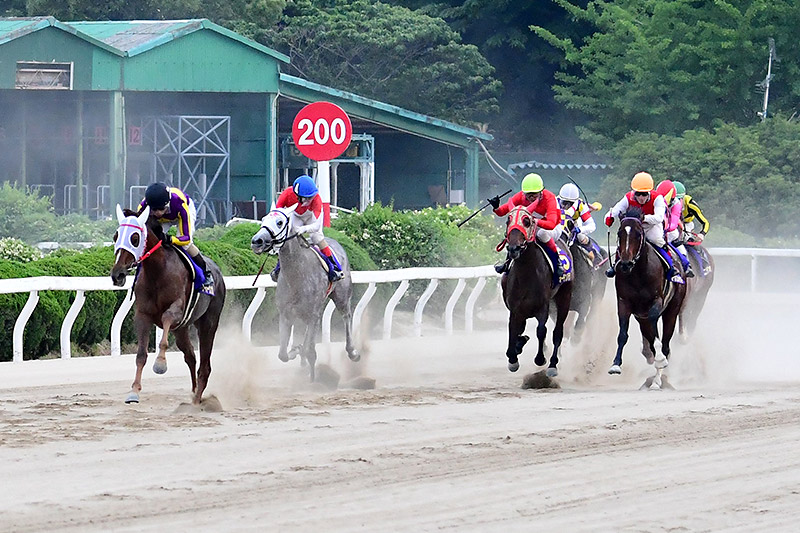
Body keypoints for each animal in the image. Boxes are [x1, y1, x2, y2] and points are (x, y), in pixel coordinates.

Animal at [109, 205, 225, 404]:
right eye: (116, 236)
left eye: (134, 238)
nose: (118, 274)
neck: (157, 272)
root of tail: (218, 272)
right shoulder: (143, 315)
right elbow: (141, 355)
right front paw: (134, 391)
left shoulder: (177, 311)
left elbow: (166, 320)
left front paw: (160, 364)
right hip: (181, 329)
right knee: (190, 356)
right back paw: (194, 391)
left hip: (208, 323)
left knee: (205, 365)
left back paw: (197, 399)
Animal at [252, 205, 360, 382]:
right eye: (262, 219)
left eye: (279, 222)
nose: (257, 241)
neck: (297, 275)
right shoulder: (286, 313)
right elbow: (283, 354)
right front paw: (296, 350)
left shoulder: (313, 314)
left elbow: (309, 350)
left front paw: (312, 377)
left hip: (341, 297)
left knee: (347, 316)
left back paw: (353, 351)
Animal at [500, 206, 568, 376]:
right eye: (508, 220)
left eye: (527, 221)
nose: (513, 248)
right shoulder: (516, 308)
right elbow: (513, 329)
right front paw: (513, 357)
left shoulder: (542, 306)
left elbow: (541, 330)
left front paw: (540, 359)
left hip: (564, 297)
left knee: (558, 332)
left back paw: (552, 365)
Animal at [608, 214, 684, 388]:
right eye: (620, 233)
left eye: (638, 235)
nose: (625, 263)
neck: (638, 273)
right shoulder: (624, 303)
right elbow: (623, 334)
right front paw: (615, 364)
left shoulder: (656, 302)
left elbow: (657, 334)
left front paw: (660, 360)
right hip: (640, 317)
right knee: (650, 339)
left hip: (672, 310)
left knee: (665, 343)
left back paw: (657, 379)